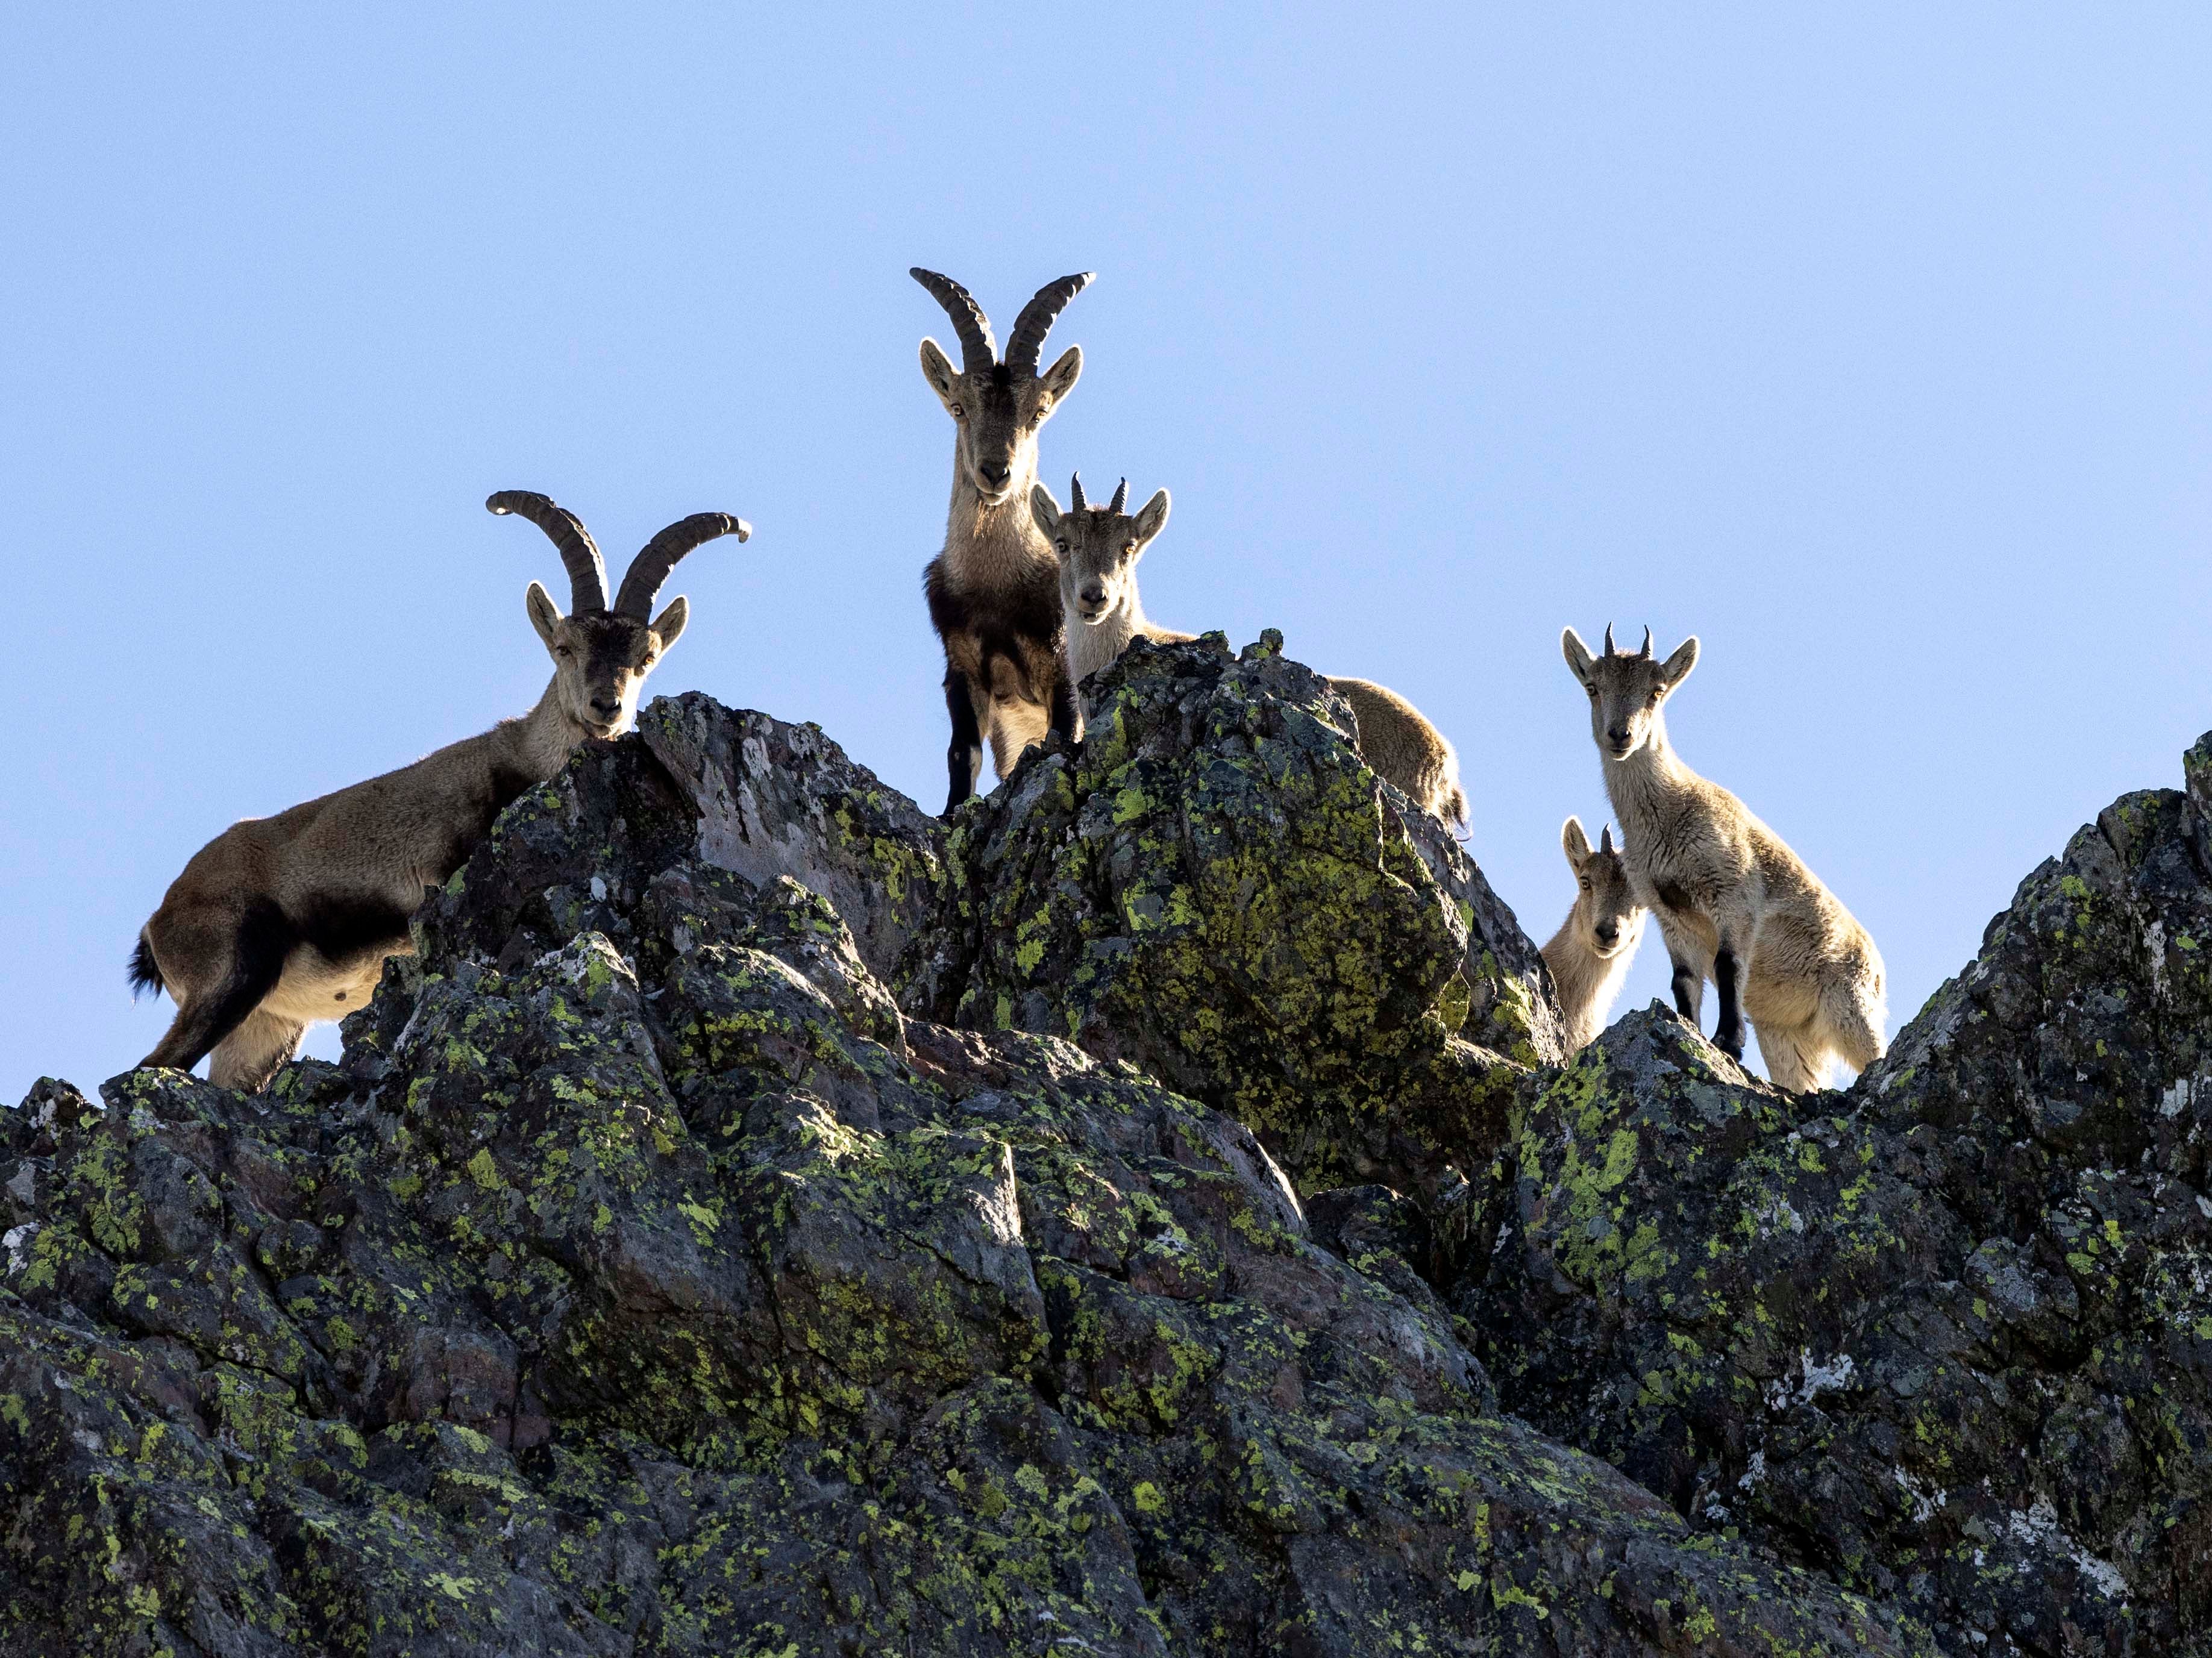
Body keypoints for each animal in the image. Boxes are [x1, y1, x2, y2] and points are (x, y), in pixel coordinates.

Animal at [129, 492, 747, 1091]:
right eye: (565, 646)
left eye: (646, 657)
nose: (606, 707)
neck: (522, 757)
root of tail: (161, 919)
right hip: (232, 974)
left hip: (265, 1024)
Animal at [912, 267, 1091, 812]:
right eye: (958, 408)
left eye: (1038, 413)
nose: (996, 473)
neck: (995, 585)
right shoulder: (963, 671)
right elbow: (961, 755)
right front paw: (952, 816)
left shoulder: (1061, 666)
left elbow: (1064, 735)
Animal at [1560, 624, 1886, 1090]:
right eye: (1593, 687)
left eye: (1656, 692)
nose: (1620, 735)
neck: (1670, 813)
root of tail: (1876, 965)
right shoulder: (1671, 916)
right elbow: (1683, 982)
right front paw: (1690, 1030)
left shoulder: (1733, 893)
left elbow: (1728, 964)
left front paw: (1727, 1042)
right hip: (1790, 1037)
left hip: (1852, 1007)